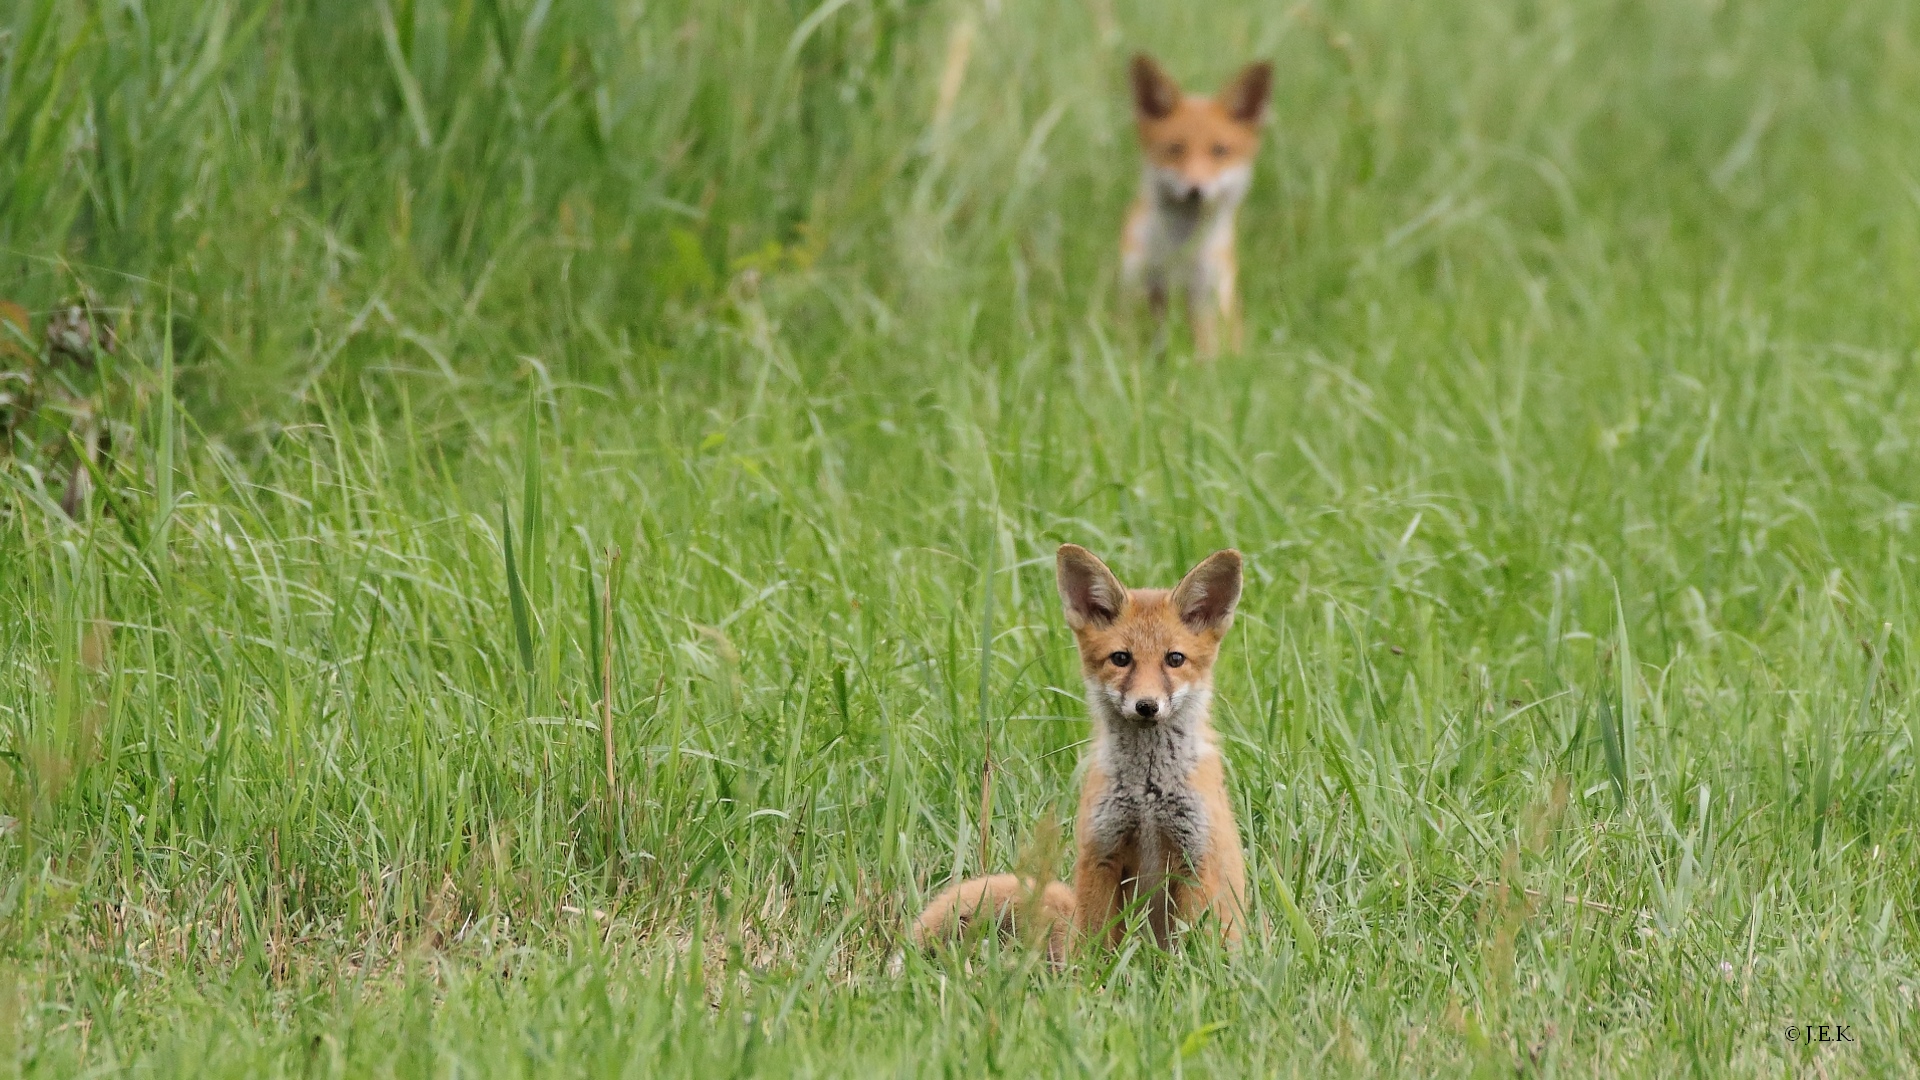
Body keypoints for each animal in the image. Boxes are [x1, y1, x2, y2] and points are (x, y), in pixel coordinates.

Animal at [1121, 53, 1274, 357]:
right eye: (1175, 149)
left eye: (1219, 151)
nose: (1195, 190)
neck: (1179, 251)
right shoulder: (1138, 286)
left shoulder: (1205, 297)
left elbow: (1206, 354)